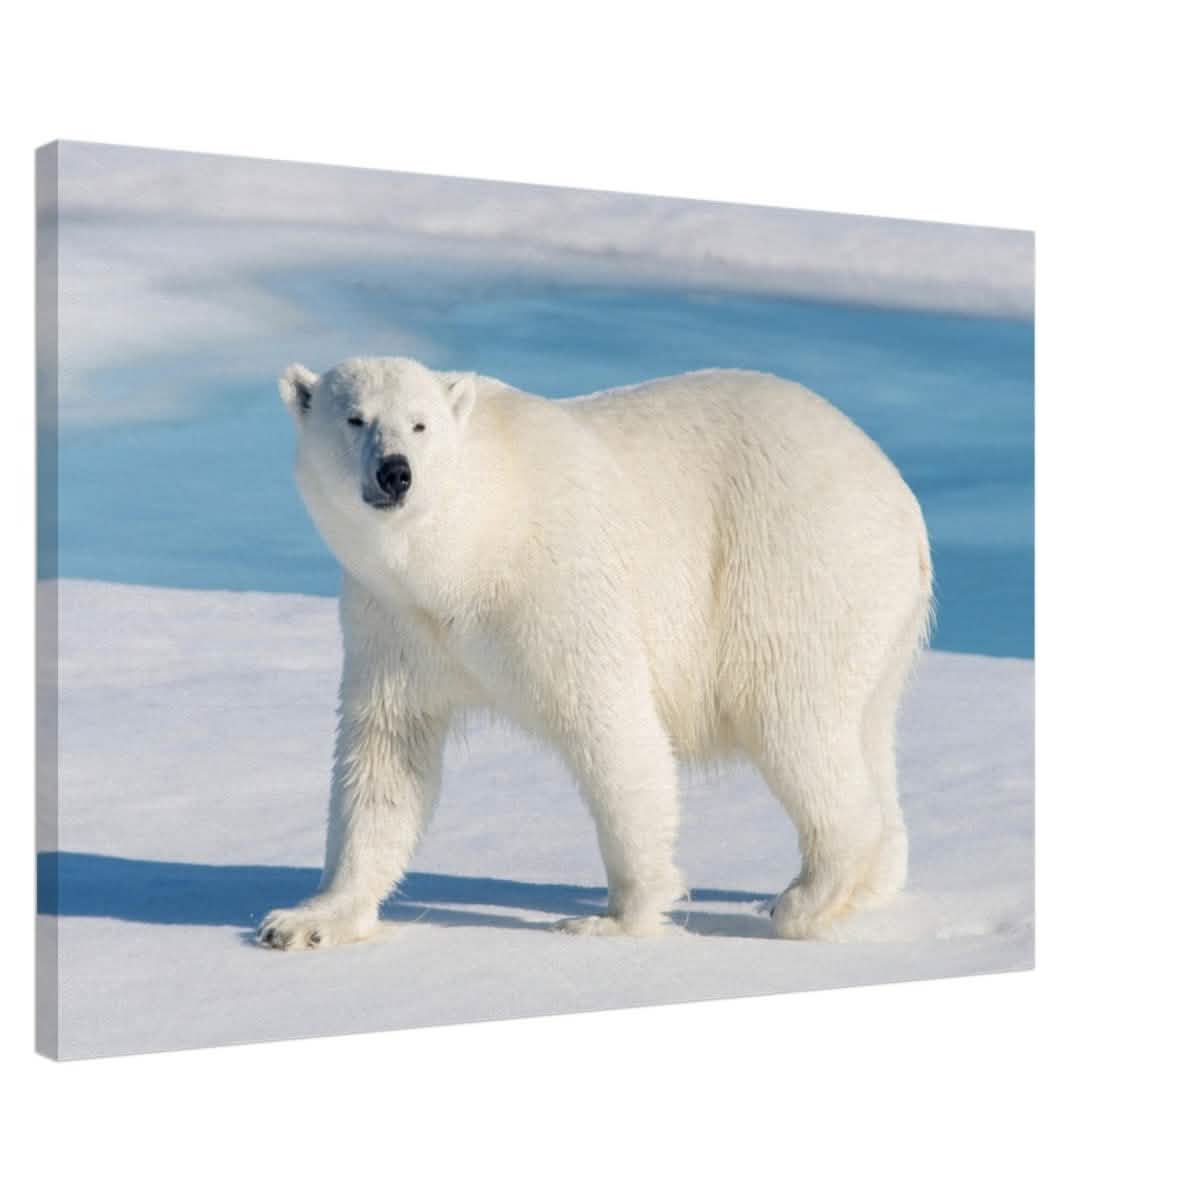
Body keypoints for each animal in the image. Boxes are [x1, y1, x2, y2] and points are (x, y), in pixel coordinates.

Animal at [258, 357, 933, 950]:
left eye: (420, 423)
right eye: (356, 418)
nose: (395, 472)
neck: (469, 547)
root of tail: (901, 496)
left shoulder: (557, 582)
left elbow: (614, 730)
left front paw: (614, 919)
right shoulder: (394, 622)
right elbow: (386, 757)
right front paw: (305, 921)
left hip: (794, 563)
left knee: (792, 719)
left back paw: (804, 899)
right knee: (867, 730)